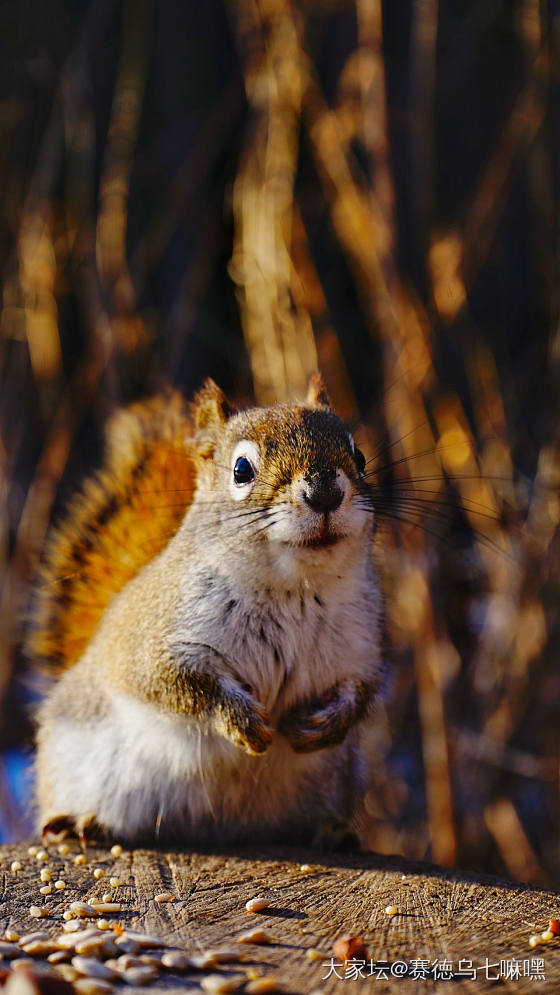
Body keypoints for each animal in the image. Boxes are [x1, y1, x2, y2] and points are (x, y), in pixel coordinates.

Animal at [30, 376, 384, 848]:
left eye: (359, 457)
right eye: (241, 470)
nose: (325, 491)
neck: (295, 589)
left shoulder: (361, 647)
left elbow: (360, 691)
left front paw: (327, 723)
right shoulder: (154, 640)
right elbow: (174, 684)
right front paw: (240, 720)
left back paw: (330, 831)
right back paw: (82, 823)